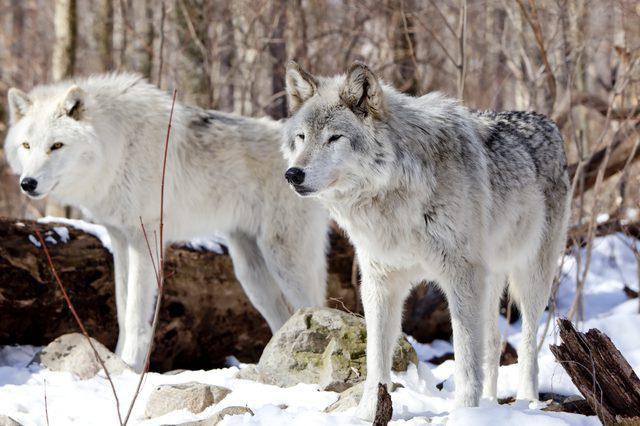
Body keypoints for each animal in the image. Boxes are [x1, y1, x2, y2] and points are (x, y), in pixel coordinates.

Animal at [7, 74, 330, 372]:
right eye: (26, 145)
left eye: (56, 145)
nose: (27, 183)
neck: (117, 145)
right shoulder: (119, 238)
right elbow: (123, 310)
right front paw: (119, 362)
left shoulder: (144, 237)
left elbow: (136, 314)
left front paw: (131, 367)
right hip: (251, 274)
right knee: (282, 318)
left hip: (285, 260)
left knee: (316, 306)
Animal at [282, 61, 572, 422]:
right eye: (301, 137)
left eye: (334, 138)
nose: (293, 174)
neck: (393, 195)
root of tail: (548, 122)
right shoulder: (380, 282)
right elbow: (376, 356)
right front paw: (367, 412)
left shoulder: (461, 277)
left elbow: (465, 356)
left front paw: (465, 413)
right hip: (490, 279)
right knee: (492, 342)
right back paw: (491, 404)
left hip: (531, 276)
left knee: (530, 342)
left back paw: (526, 402)